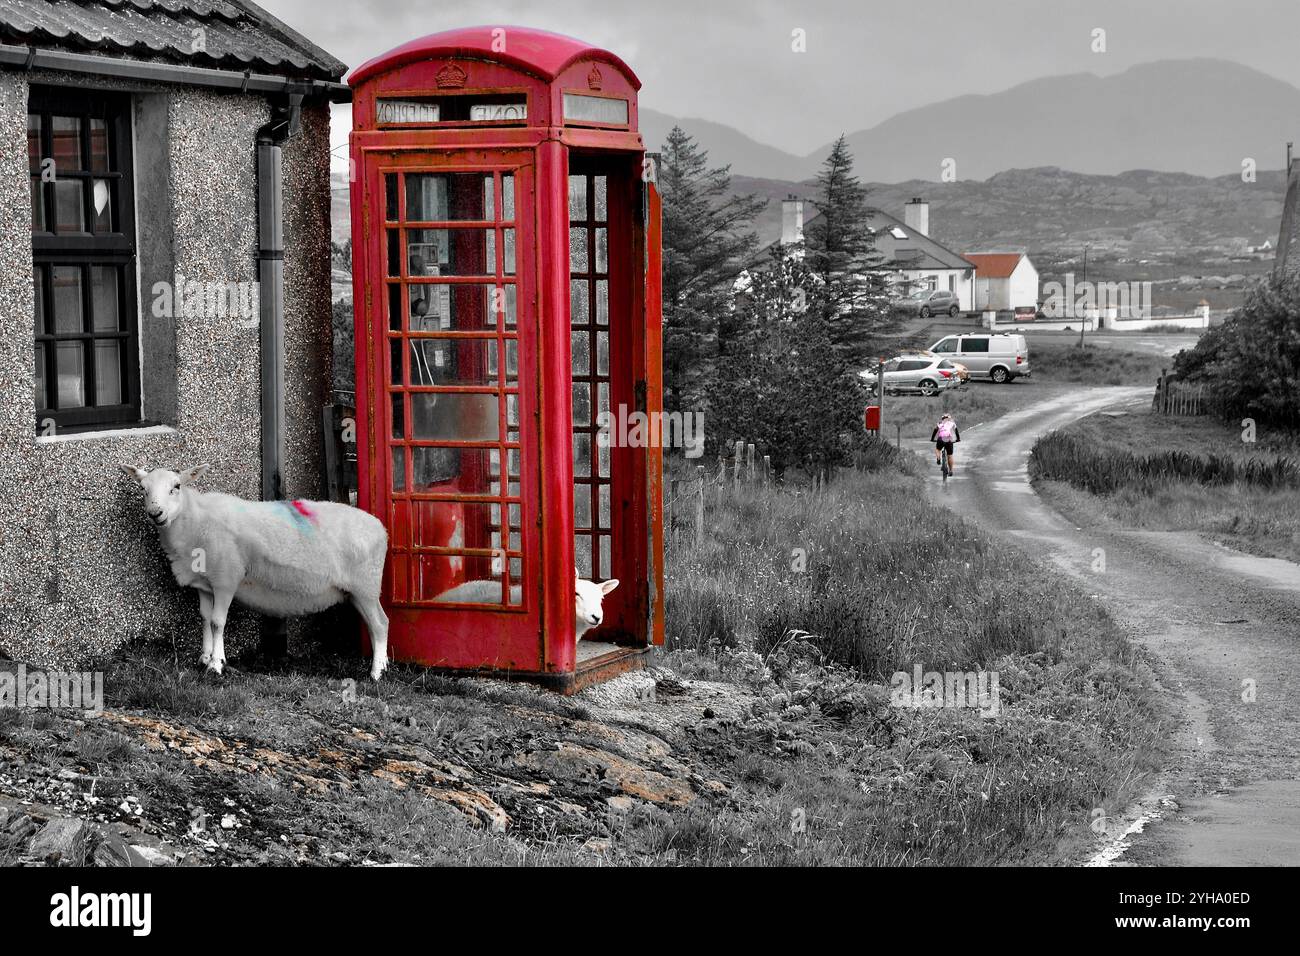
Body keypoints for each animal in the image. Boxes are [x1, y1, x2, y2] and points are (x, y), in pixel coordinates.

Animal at [119, 463, 387, 681]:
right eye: (143, 489)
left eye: (176, 487)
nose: (156, 514)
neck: (195, 521)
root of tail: (380, 528)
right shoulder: (204, 584)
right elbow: (205, 617)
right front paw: (205, 657)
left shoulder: (226, 580)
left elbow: (217, 621)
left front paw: (216, 665)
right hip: (356, 592)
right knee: (374, 624)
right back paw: (381, 664)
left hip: (367, 586)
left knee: (380, 624)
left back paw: (376, 673)